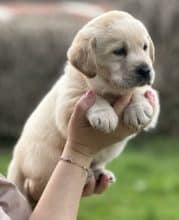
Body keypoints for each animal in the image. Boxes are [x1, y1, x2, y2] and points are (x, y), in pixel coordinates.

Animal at [7, 9, 160, 203]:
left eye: (144, 47)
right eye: (119, 51)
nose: (146, 70)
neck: (108, 87)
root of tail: (16, 159)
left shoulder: (151, 96)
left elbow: (141, 92)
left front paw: (139, 109)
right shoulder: (68, 102)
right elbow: (92, 97)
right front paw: (105, 114)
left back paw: (100, 173)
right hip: (44, 160)